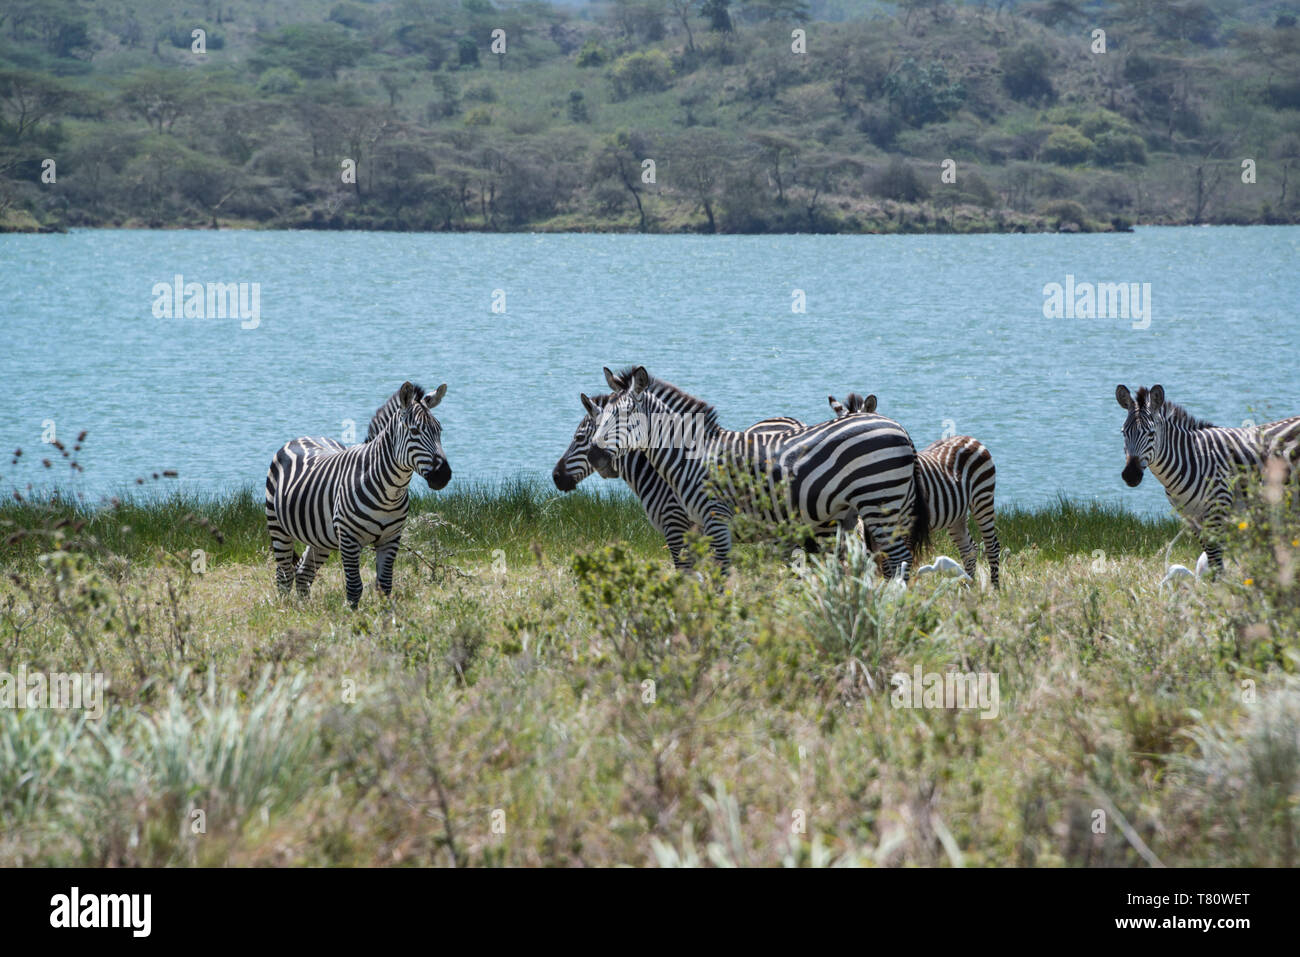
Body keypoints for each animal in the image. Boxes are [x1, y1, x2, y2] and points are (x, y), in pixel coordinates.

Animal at [265, 381, 450, 608]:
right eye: (414, 430)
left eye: (439, 430)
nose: (444, 475)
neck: (389, 492)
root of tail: (302, 437)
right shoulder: (348, 538)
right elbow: (354, 588)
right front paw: (352, 616)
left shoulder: (390, 538)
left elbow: (385, 586)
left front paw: (386, 616)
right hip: (277, 526)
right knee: (284, 576)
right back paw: (286, 610)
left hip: (319, 536)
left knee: (303, 573)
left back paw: (305, 610)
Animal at [589, 367, 927, 579]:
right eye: (600, 416)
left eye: (625, 415)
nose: (594, 455)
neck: (694, 456)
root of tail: (899, 427)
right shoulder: (696, 526)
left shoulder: (715, 519)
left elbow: (720, 573)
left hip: (880, 502)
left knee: (900, 560)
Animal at [829, 392, 1000, 588]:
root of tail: (968, 438)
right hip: (957, 514)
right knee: (968, 548)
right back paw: (968, 587)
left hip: (983, 498)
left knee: (992, 545)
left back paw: (995, 588)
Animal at [1116, 384, 1300, 575]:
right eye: (1123, 433)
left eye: (1151, 434)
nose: (1130, 475)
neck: (1192, 458)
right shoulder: (1192, 517)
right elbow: (1210, 557)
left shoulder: (1217, 509)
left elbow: (1215, 558)